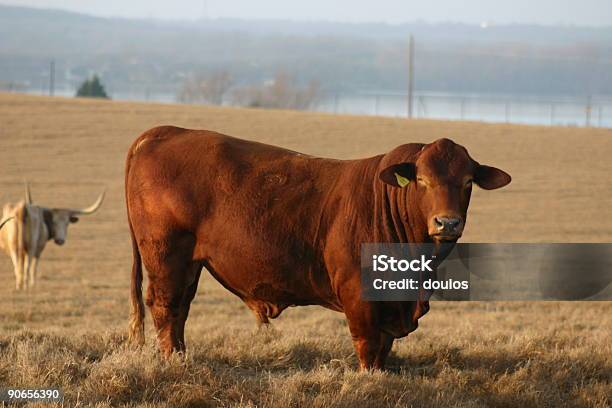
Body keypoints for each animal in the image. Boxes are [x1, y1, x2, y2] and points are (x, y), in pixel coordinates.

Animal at [125, 125, 512, 370]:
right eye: (421, 179)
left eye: (467, 182)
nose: (447, 223)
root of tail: (166, 131)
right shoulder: (359, 295)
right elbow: (368, 345)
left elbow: (384, 348)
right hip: (165, 256)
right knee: (165, 307)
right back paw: (172, 362)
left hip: (190, 264)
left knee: (180, 310)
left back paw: (182, 357)